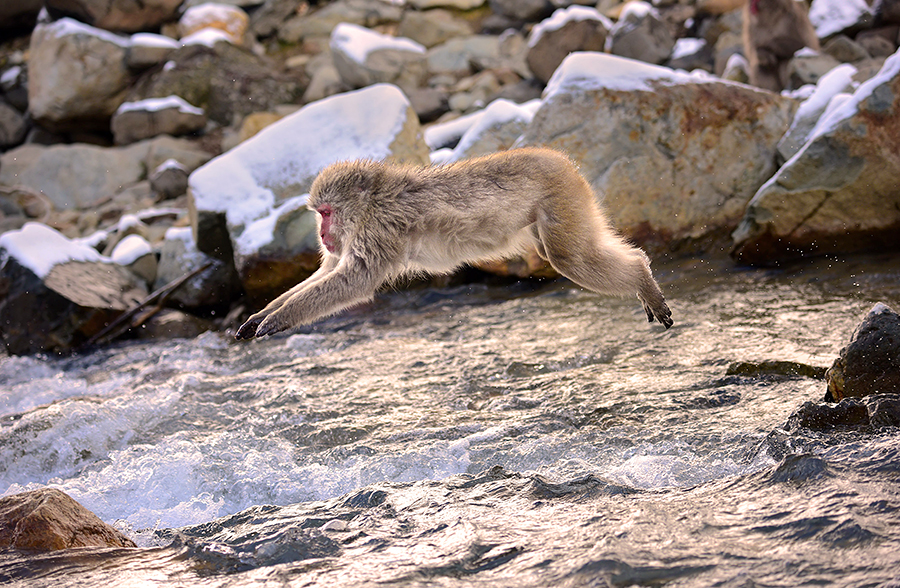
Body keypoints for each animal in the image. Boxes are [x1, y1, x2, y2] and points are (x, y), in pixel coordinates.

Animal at [235, 148, 673, 340]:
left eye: (326, 212)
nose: (322, 235)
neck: (372, 202)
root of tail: (560, 159)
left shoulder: (378, 232)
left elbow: (355, 281)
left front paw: (279, 318)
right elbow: (328, 273)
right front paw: (262, 314)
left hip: (561, 199)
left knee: (568, 257)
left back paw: (640, 277)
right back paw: (641, 272)